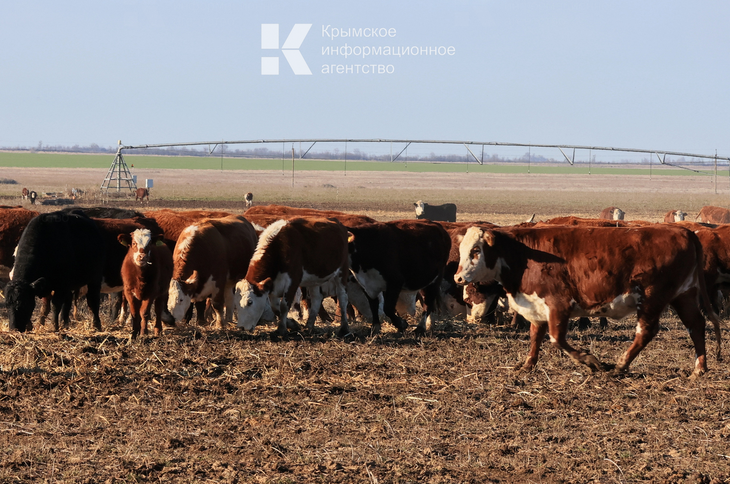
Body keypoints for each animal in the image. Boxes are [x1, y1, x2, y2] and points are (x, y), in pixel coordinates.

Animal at [454, 224, 720, 378]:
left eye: (476, 250)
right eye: (461, 250)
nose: (458, 277)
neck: (525, 254)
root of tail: (683, 231)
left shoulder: (558, 304)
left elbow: (556, 339)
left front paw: (592, 362)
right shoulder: (536, 306)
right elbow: (535, 338)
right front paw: (527, 365)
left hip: (652, 297)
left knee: (646, 331)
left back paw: (620, 366)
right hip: (683, 294)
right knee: (696, 325)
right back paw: (700, 368)